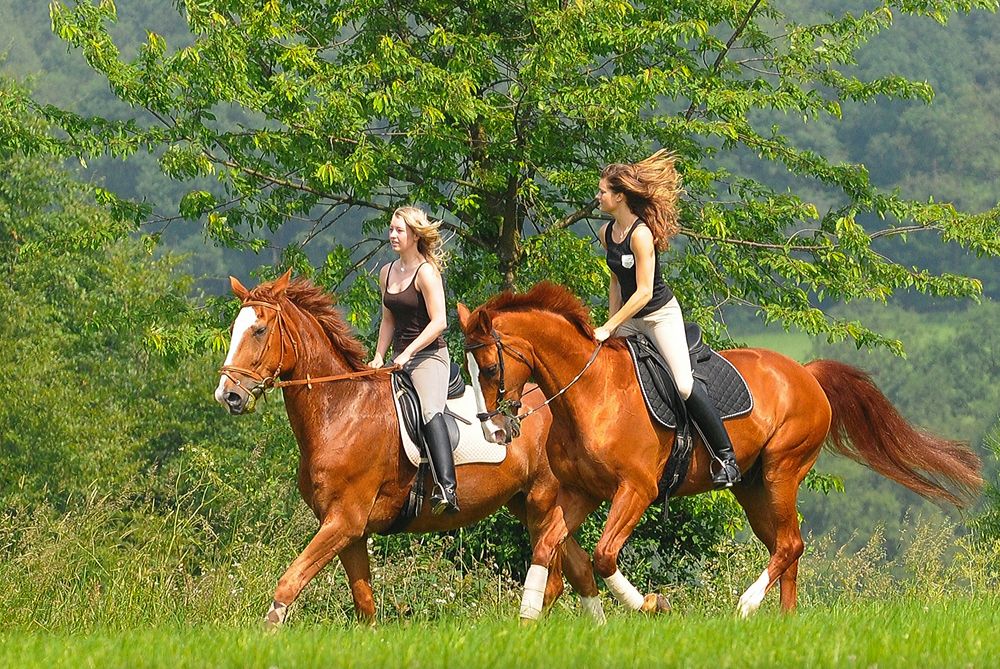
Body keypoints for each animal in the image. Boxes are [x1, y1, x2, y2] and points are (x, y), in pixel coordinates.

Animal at [213, 272, 600, 628]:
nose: (228, 395)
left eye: (259, 330)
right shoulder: (348, 531)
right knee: (580, 567)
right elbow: (364, 604)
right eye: (234, 329)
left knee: (555, 580)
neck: (341, 410)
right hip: (527, 504)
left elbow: (289, 582)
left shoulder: (344, 522)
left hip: (542, 502)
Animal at [462, 280, 984, 616]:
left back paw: (748, 606)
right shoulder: (580, 492)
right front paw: (527, 618)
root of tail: (806, 373)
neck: (590, 392)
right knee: (787, 548)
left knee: (790, 544)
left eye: (488, 367)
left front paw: (651, 603)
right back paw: (784, 624)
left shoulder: (636, 490)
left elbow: (604, 555)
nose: (493, 432)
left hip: (781, 471)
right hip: (753, 489)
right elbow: (549, 547)